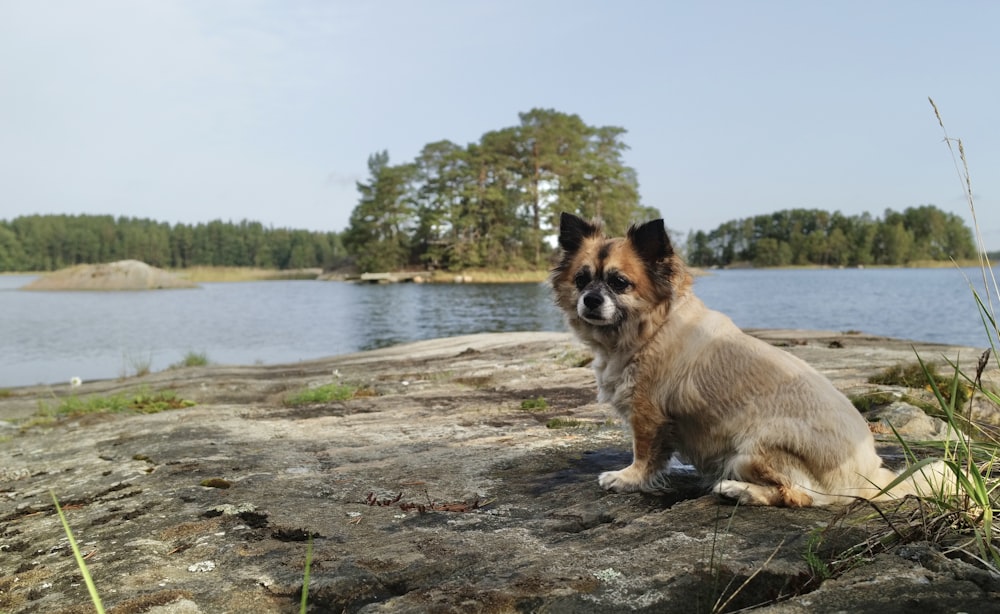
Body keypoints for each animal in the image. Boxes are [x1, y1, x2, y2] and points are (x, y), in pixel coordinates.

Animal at [552, 214, 940, 508]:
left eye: (619, 283)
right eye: (581, 279)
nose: (590, 299)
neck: (650, 330)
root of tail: (872, 476)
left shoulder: (648, 413)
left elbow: (645, 454)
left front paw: (627, 478)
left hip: (753, 447)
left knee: (797, 496)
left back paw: (738, 490)